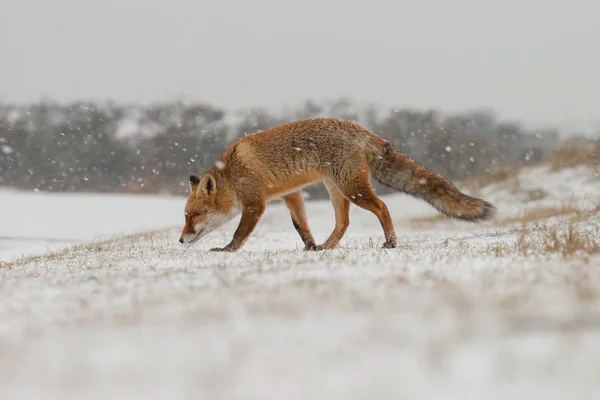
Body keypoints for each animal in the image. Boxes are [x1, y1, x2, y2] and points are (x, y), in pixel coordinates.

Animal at [179, 117, 496, 252]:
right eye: (185, 216)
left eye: (194, 216)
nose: (181, 240)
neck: (232, 174)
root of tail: (362, 130)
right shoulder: (291, 193)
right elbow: (301, 226)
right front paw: (310, 246)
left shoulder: (256, 203)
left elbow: (240, 232)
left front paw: (228, 250)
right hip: (337, 191)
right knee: (343, 224)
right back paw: (327, 247)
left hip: (351, 189)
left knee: (382, 207)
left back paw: (390, 242)